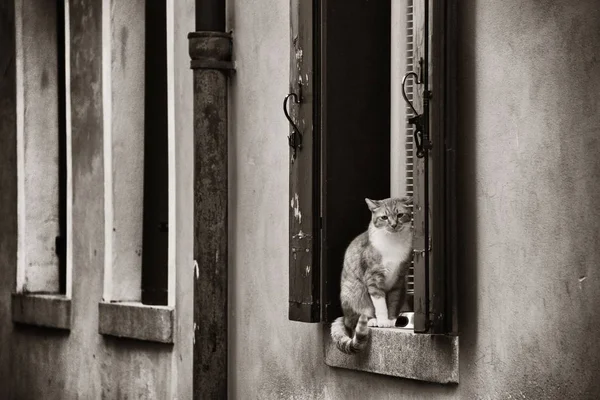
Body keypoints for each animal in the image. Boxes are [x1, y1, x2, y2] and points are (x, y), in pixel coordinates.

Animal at [328, 197, 412, 354]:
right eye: (384, 217)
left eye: (400, 215)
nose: (393, 225)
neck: (393, 242)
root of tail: (344, 315)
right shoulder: (373, 277)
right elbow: (380, 302)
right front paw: (383, 321)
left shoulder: (399, 279)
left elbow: (393, 301)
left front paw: (391, 320)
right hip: (355, 291)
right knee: (354, 321)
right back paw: (371, 320)